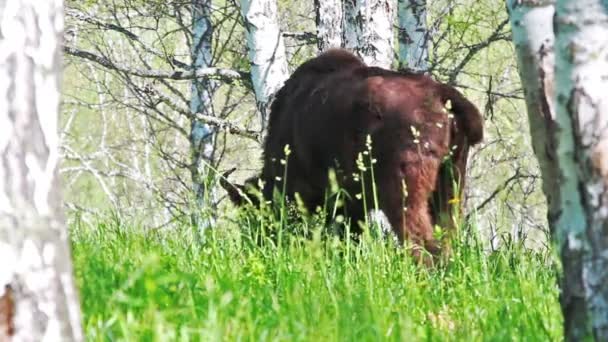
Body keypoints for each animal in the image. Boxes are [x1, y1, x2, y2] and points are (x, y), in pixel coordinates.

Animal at [223, 48, 484, 260]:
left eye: (253, 210)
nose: (258, 244)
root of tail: (442, 95)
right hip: (451, 182)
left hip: (404, 194)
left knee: (421, 243)